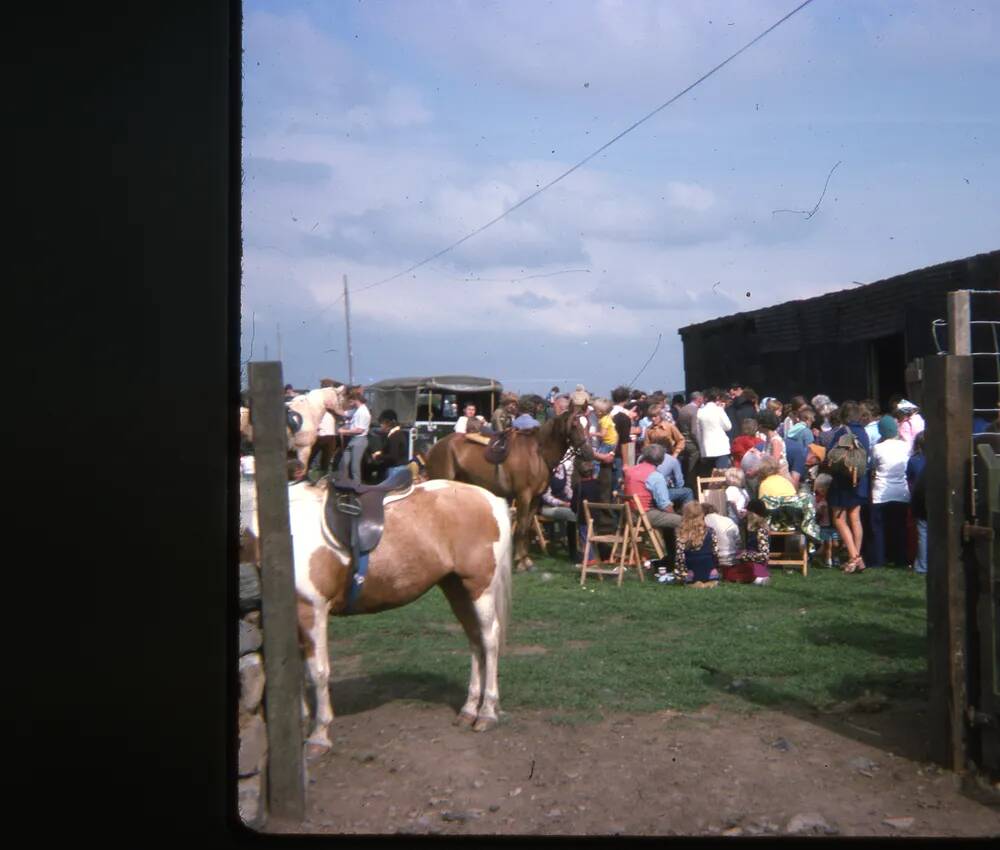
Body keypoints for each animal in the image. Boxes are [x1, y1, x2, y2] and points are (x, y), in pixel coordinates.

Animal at [424, 410, 592, 568]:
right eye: (574, 425)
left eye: (587, 425)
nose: (588, 454)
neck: (538, 454)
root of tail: (434, 447)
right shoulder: (524, 496)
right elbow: (521, 527)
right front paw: (520, 561)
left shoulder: (536, 498)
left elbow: (527, 526)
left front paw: (526, 559)